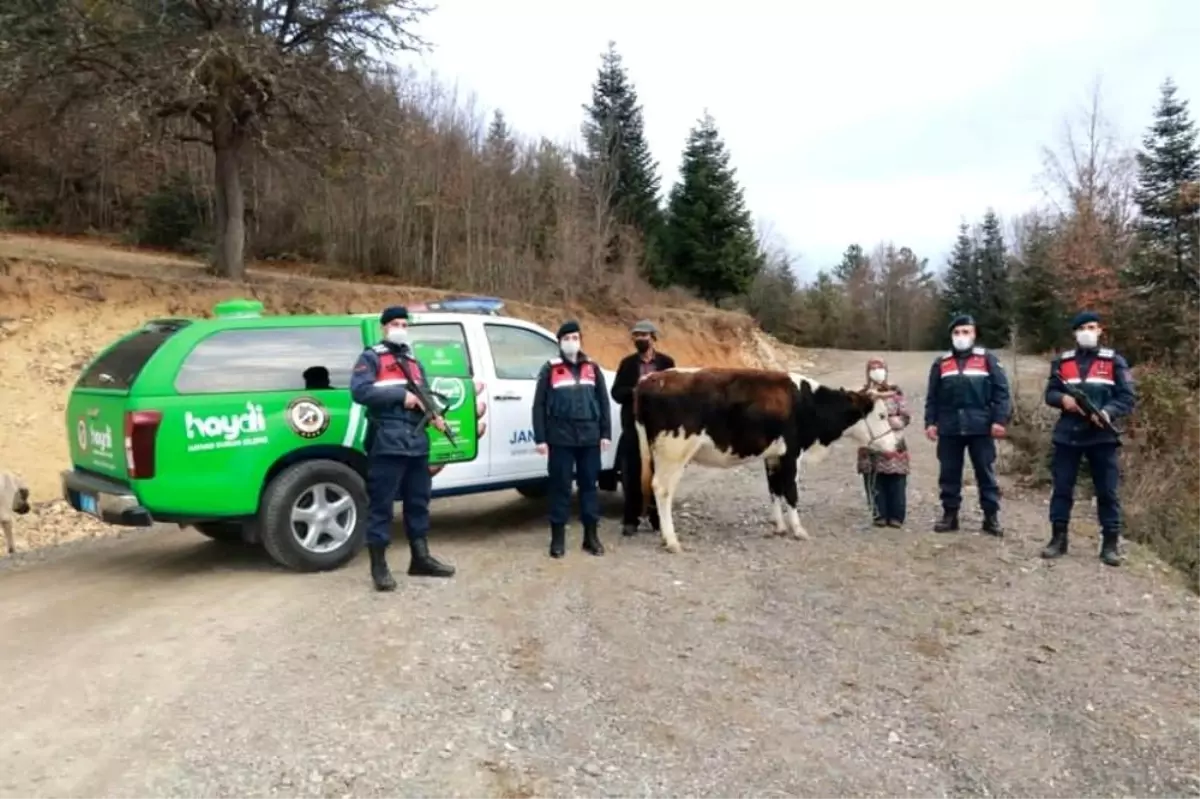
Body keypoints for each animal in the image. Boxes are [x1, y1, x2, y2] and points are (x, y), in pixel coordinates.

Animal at [633, 369, 897, 551]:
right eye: (882, 415)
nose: (897, 445)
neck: (807, 403)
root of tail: (649, 380)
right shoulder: (791, 453)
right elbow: (791, 492)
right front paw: (798, 530)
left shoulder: (773, 456)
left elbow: (774, 490)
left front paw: (779, 527)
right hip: (674, 453)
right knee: (662, 489)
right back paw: (671, 540)